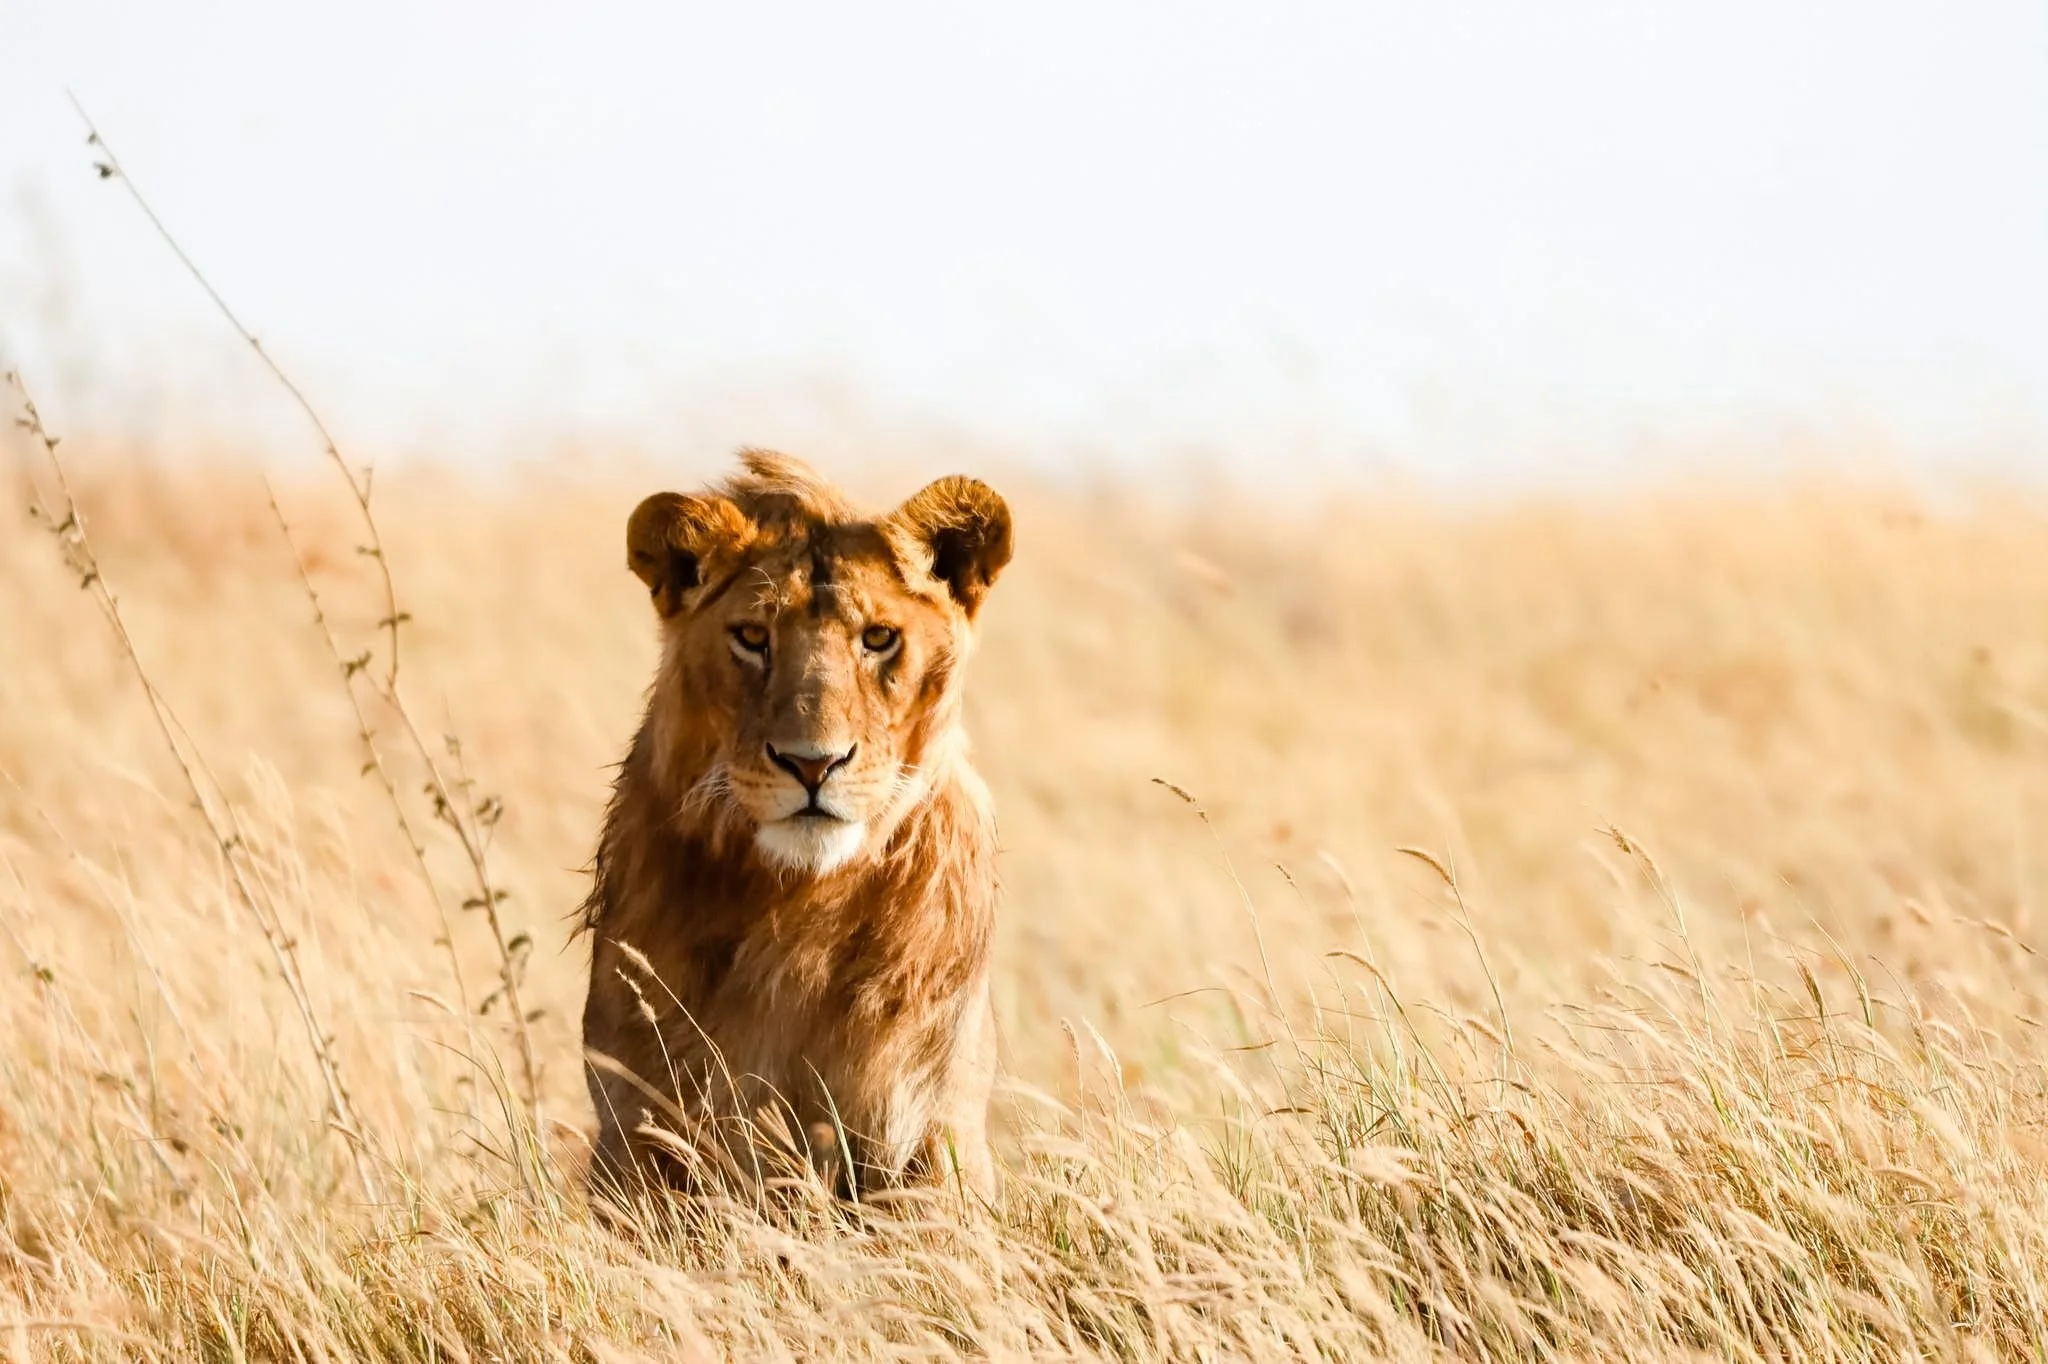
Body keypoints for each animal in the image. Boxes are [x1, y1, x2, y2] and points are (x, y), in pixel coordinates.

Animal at [578, 449, 1012, 1208]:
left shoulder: (928, 1121)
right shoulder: (635, 1129)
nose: (813, 763)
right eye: (753, 638)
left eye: (879, 639)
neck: (795, 902)